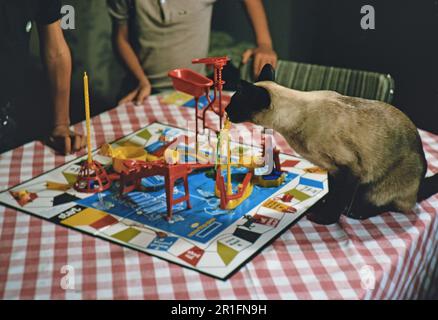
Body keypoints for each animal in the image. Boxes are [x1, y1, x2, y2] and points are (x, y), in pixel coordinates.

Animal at [228, 64, 436, 225]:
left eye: (234, 104)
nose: (226, 111)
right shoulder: (334, 170)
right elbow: (332, 192)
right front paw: (322, 205)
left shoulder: (350, 169)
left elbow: (339, 198)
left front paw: (325, 218)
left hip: (378, 187)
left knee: (395, 205)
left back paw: (357, 211)